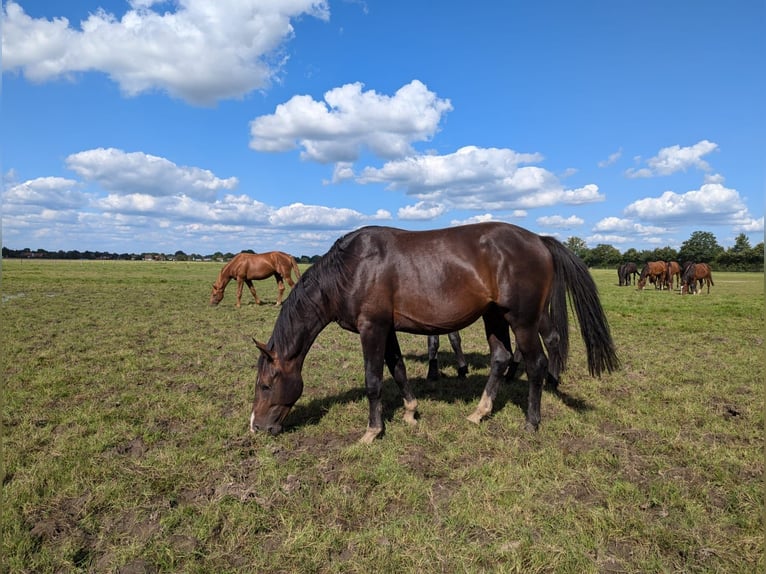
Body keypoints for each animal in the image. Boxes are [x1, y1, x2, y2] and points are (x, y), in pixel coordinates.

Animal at [249, 224, 620, 446]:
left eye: (265, 385)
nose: (256, 427)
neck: (352, 268)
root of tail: (540, 240)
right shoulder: (387, 329)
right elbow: (398, 369)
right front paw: (411, 413)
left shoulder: (372, 328)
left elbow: (374, 380)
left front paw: (372, 431)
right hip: (494, 317)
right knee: (501, 358)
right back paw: (479, 412)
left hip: (523, 320)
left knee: (537, 363)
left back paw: (532, 422)